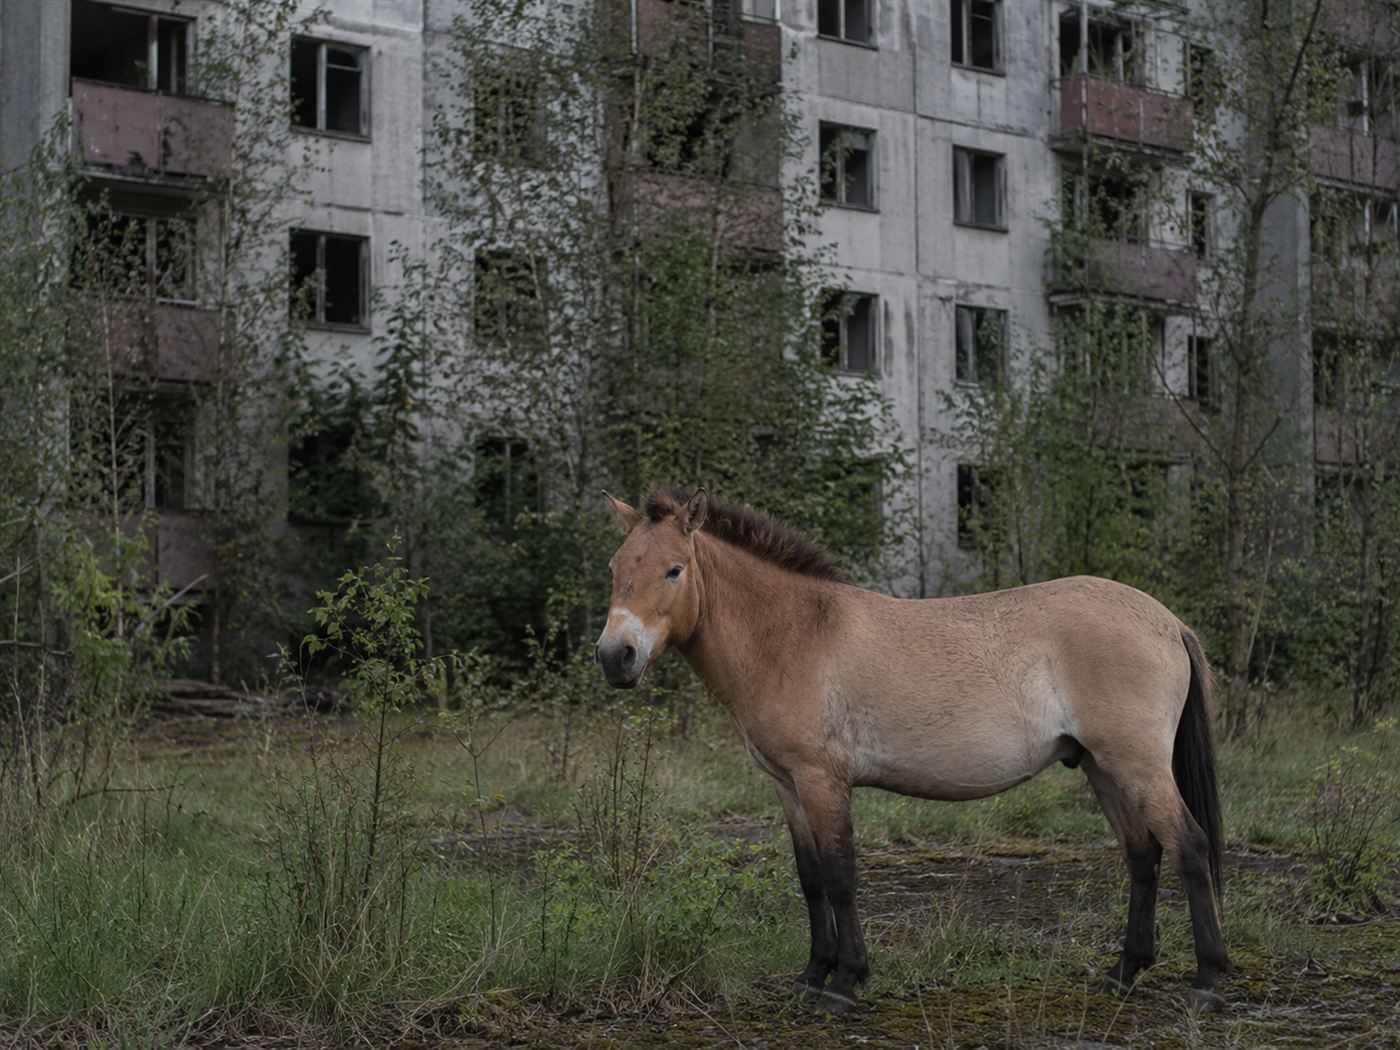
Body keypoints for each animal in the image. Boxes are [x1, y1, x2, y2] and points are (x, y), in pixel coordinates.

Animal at [593, 486, 1228, 1015]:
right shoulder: (787, 784)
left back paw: (1207, 981)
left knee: (1189, 848)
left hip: (1137, 765)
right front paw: (810, 977)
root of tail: (1168, 622)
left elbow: (840, 875)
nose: (615, 656)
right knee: (1142, 854)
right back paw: (1124, 973)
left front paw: (844, 985)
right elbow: (810, 876)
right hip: (1102, 767)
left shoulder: (823, 781)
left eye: (674, 569)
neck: (795, 634)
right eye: (616, 568)